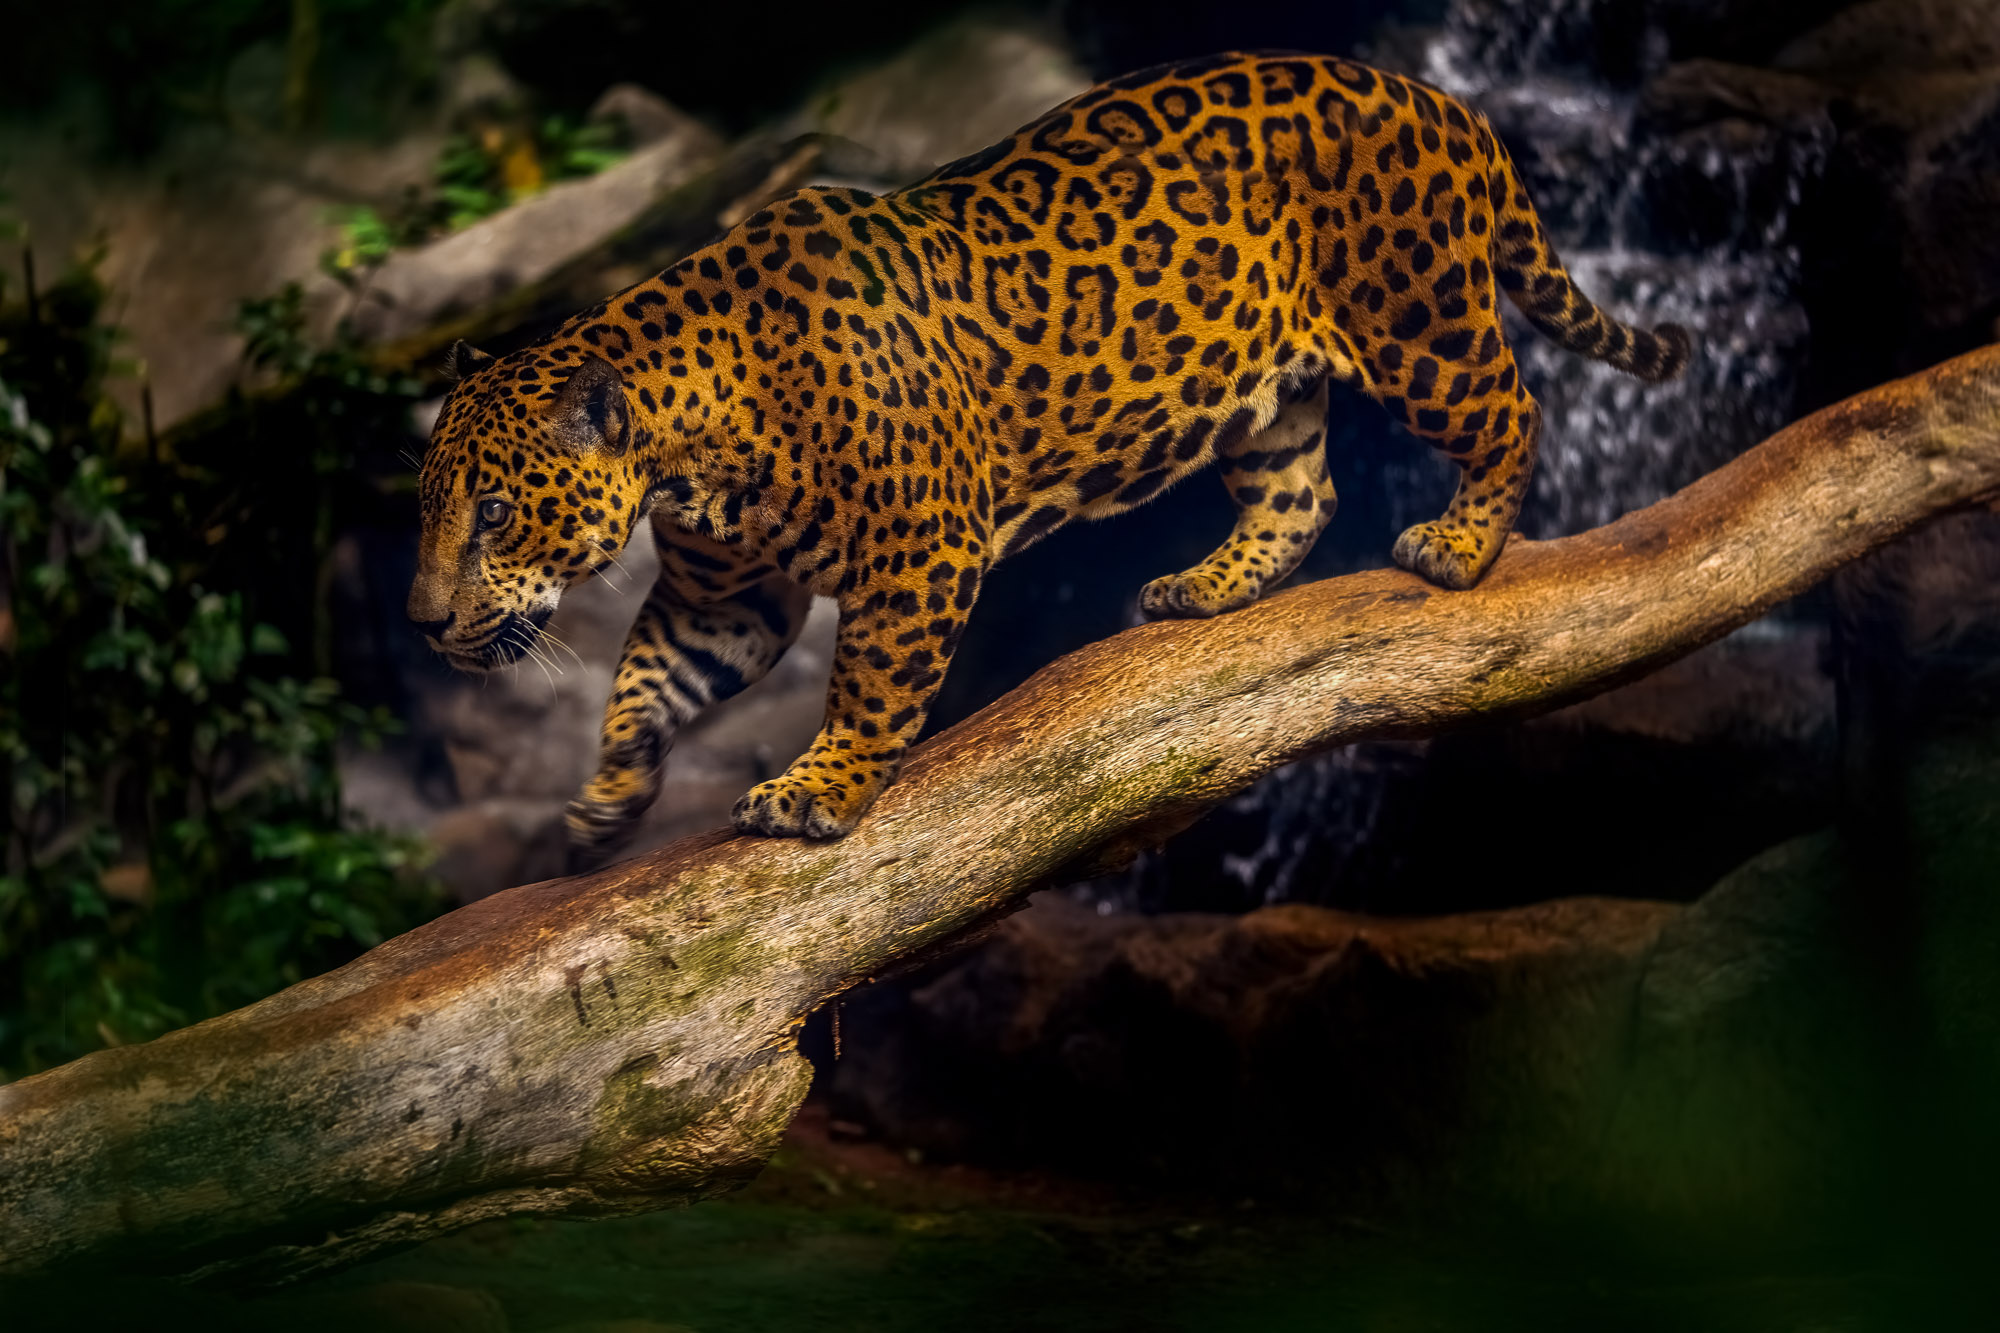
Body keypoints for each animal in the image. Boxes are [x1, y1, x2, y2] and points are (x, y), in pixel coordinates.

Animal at [406, 51, 1693, 863]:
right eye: (428, 506)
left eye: (495, 513)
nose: (420, 622)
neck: (691, 445)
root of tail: (1440, 101)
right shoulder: (726, 595)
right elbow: (643, 688)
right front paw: (603, 809)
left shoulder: (915, 555)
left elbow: (864, 682)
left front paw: (819, 789)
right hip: (1260, 391)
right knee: (1301, 488)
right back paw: (1203, 588)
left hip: (1415, 323)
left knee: (1512, 407)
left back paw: (1459, 548)